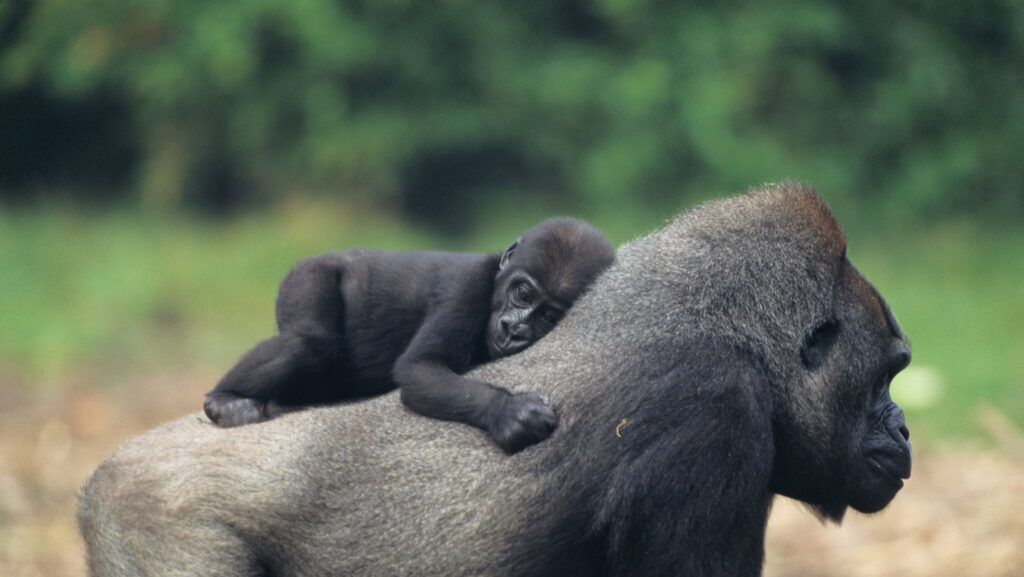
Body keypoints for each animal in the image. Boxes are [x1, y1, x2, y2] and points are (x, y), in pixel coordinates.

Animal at [203, 219, 610, 452]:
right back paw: (224, 400)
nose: (514, 330)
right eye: (523, 293)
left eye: (547, 316)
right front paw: (510, 411)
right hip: (308, 273)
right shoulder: (467, 288)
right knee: (309, 342)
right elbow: (419, 368)